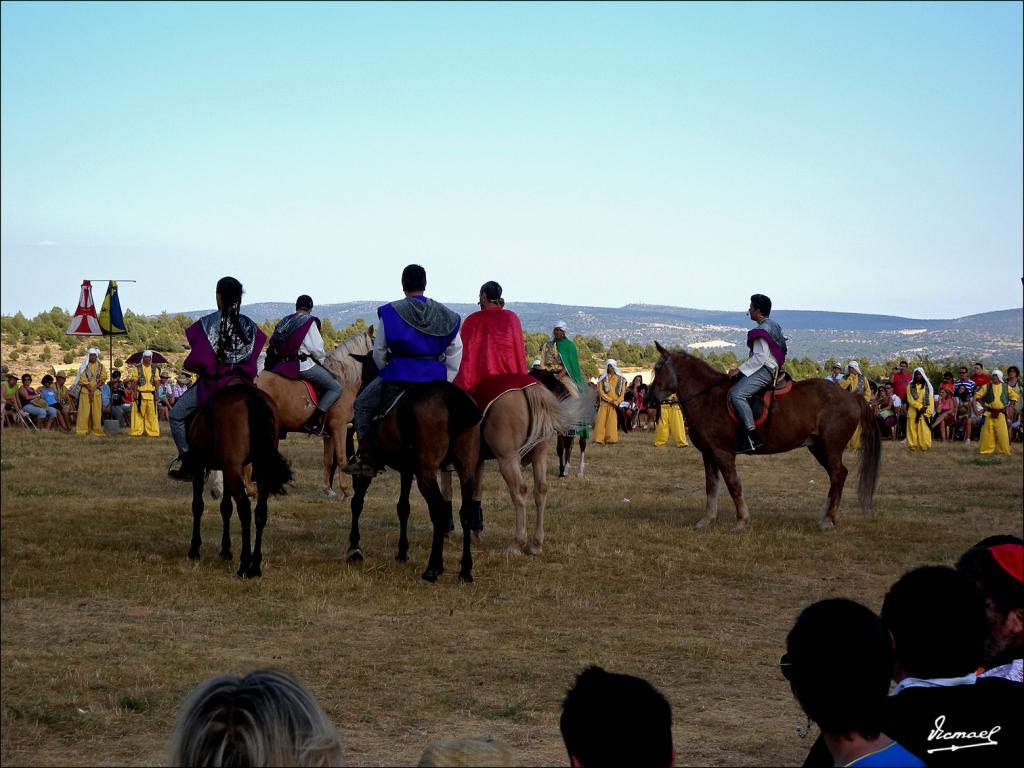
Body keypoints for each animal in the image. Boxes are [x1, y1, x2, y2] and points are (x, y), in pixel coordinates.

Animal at [186, 385, 292, 577]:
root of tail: (251, 396)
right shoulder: (227, 470)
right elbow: (226, 508)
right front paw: (226, 550)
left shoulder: (199, 466)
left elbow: (198, 506)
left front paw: (194, 549)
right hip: (258, 469)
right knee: (260, 511)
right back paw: (255, 565)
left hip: (232, 467)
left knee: (244, 509)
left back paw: (244, 565)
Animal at [346, 358, 481, 585]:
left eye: (364, 372)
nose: (358, 392)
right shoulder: (407, 470)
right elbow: (403, 507)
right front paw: (402, 551)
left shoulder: (368, 464)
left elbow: (357, 502)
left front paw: (354, 547)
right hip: (466, 470)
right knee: (466, 512)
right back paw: (465, 570)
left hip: (426, 474)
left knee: (439, 511)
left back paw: (433, 568)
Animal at [647, 346, 880, 532]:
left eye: (658, 369)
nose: (649, 400)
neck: (707, 398)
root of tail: (852, 396)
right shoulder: (709, 454)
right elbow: (711, 487)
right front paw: (706, 520)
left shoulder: (723, 453)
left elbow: (733, 485)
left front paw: (741, 521)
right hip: (818, 448)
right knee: (837, 476)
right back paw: (825, 516)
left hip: (830, 448)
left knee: (838, 476)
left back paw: (828, 520)